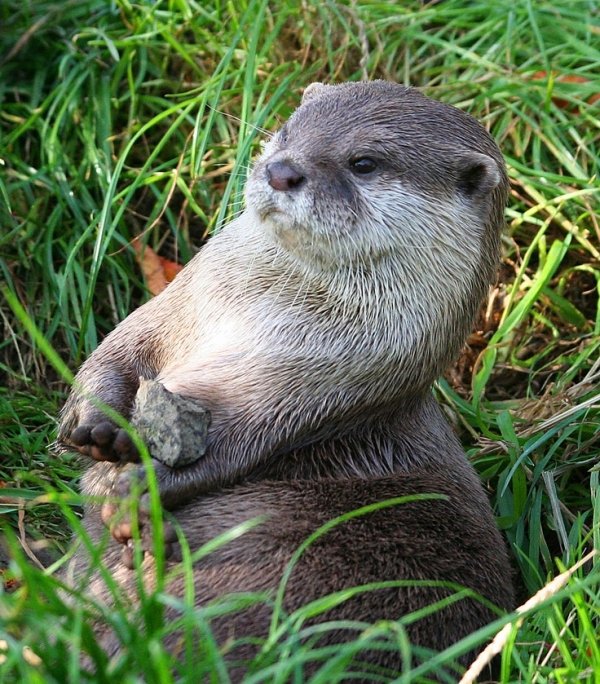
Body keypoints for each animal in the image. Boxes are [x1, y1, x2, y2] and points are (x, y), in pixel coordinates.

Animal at [58, 83, 512, 676]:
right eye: (288, 131)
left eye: (363, 163)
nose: (281, 170)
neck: (251, 314)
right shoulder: (177, 308)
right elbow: (122, 348)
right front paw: (96, 420)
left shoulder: (312, 385)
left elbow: (232, 446)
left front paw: (133, 492)